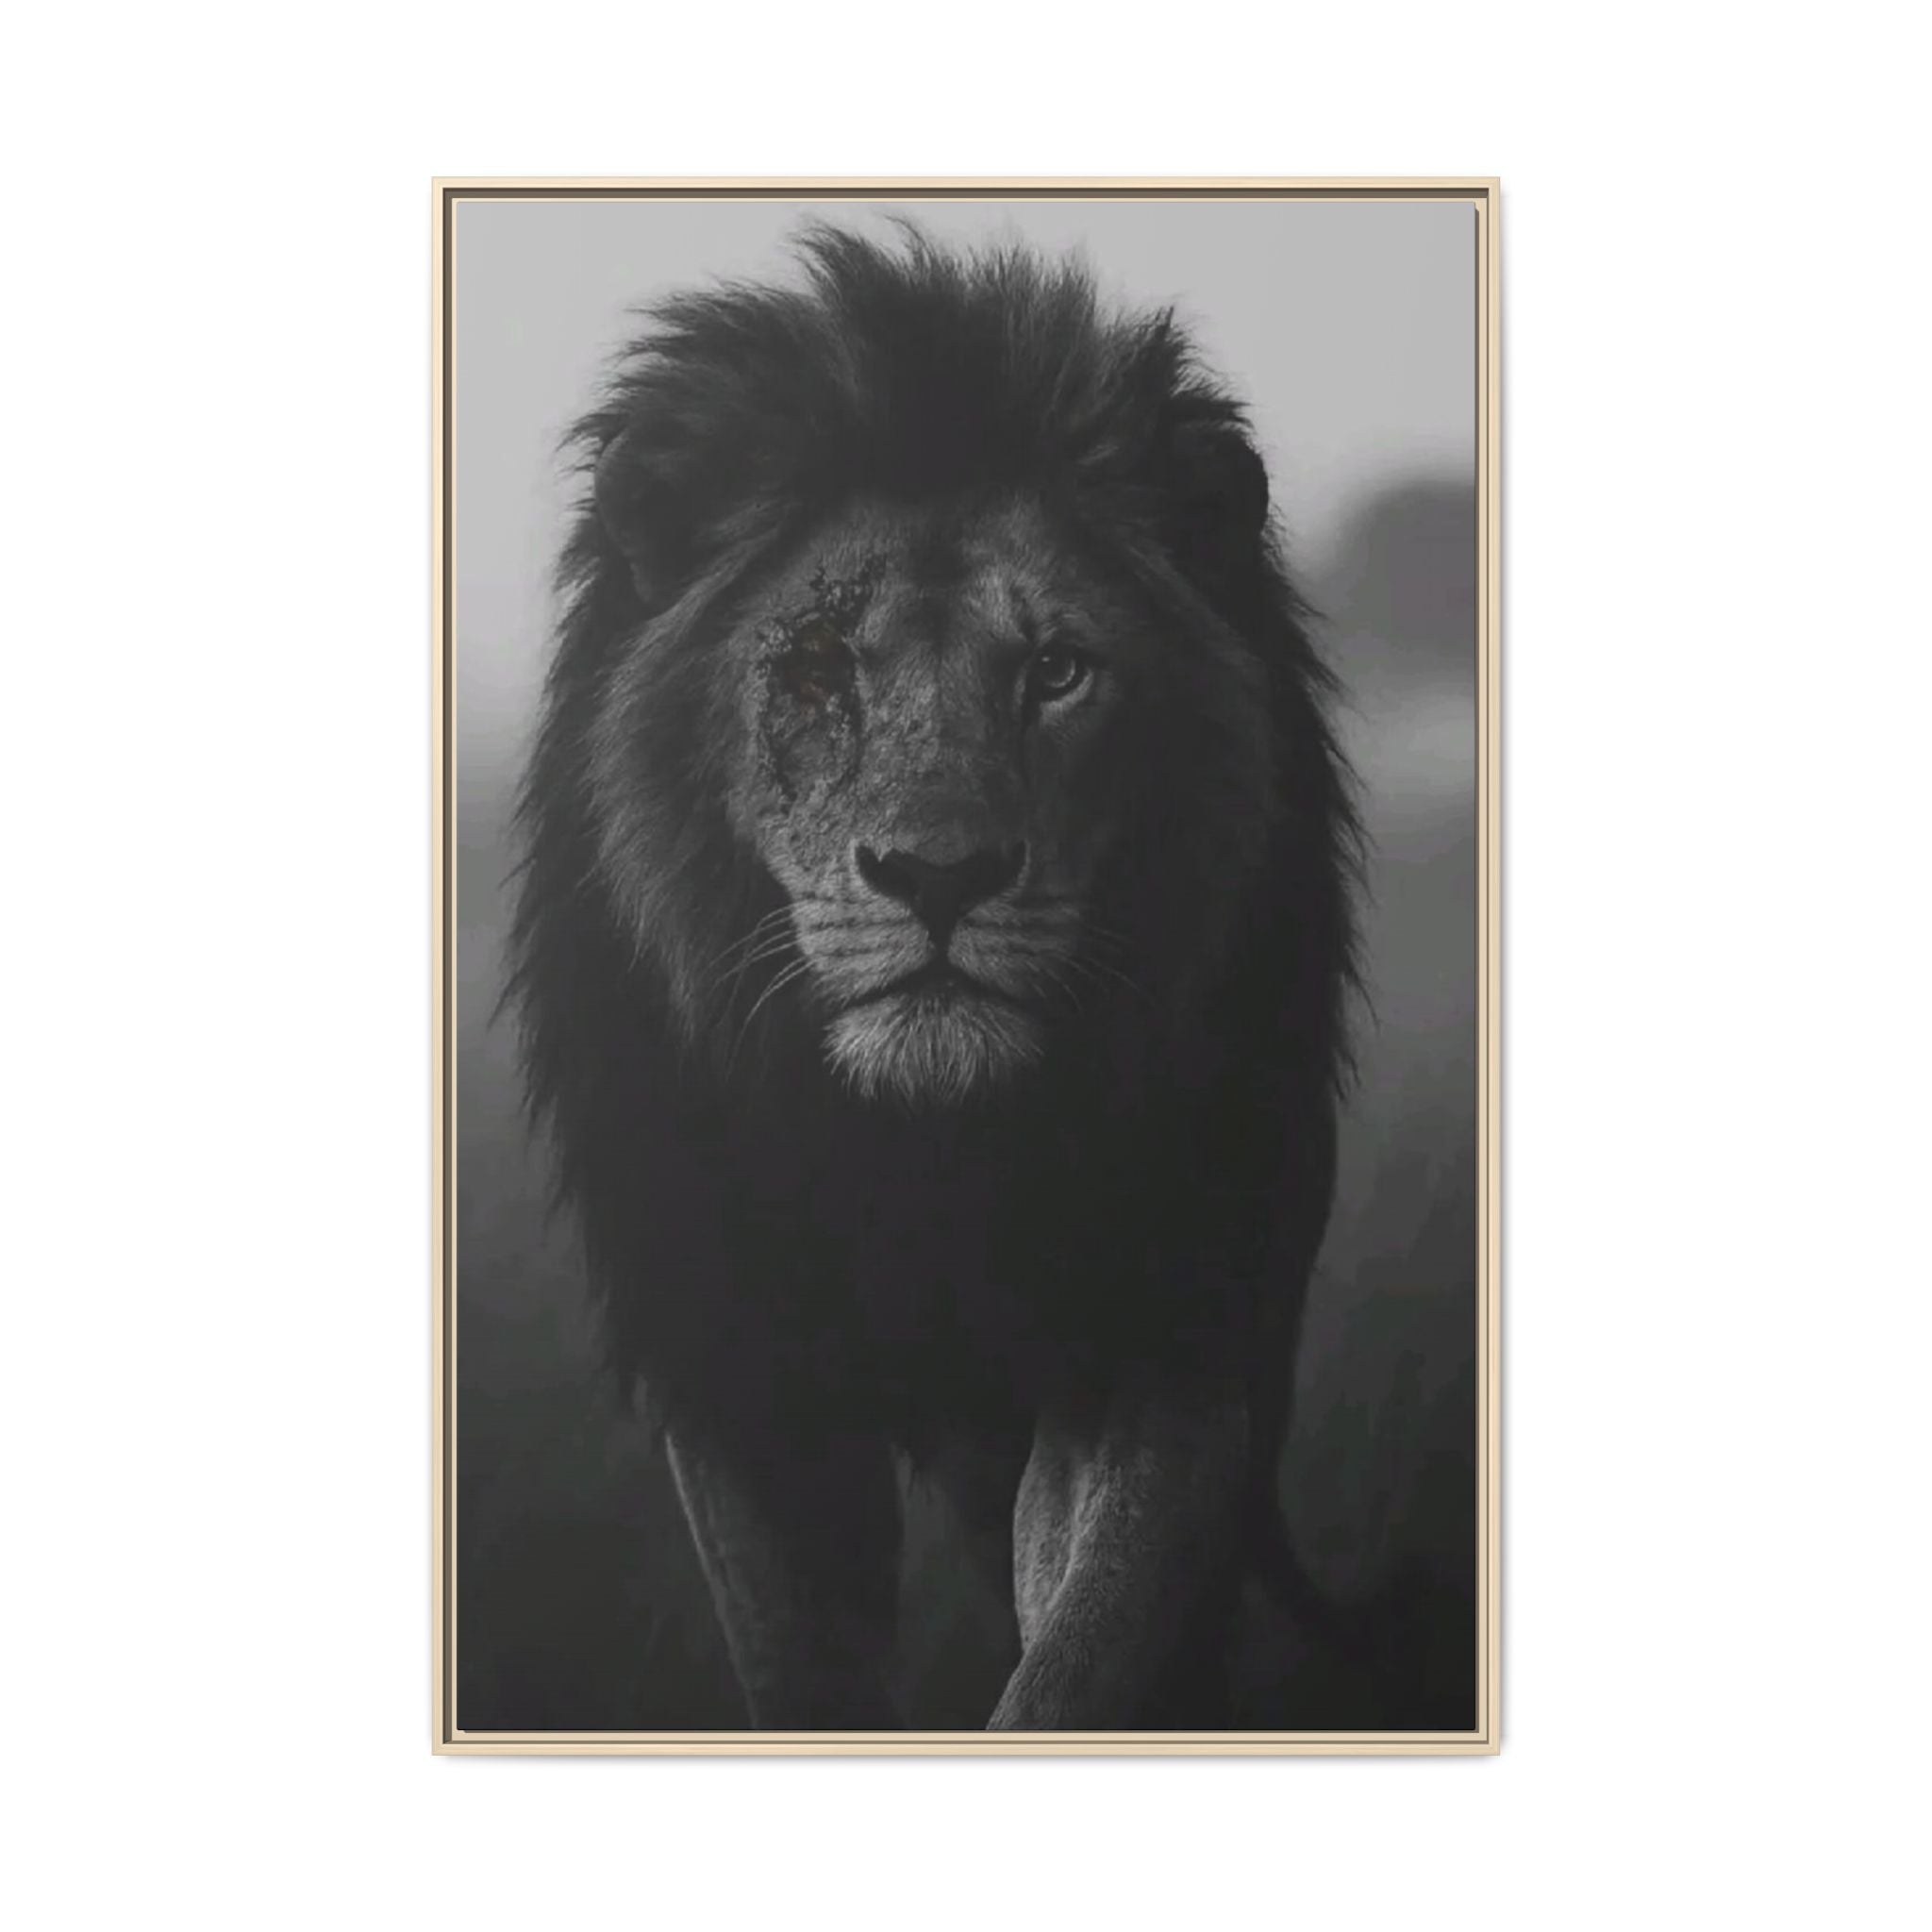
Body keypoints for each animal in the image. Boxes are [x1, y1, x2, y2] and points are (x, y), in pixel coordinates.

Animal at [510, 225, 1358, 1729]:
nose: (940, 874)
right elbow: (802, 1676)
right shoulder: (740, 1371)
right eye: (814, 668)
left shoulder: (1158, 1333)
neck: (923, 1156)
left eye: (1059, 671)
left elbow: (1084, 1653)